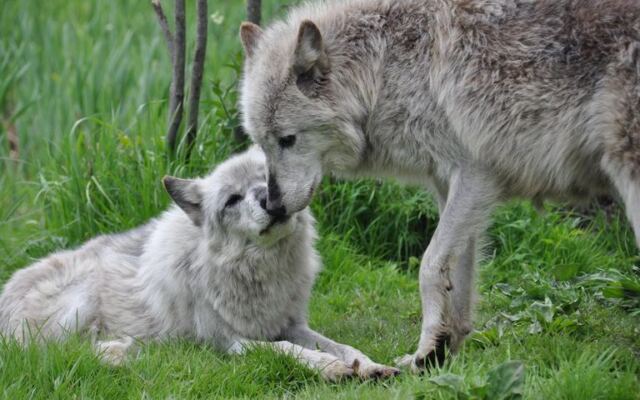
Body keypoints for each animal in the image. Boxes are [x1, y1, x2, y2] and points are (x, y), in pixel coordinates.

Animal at [0, 147, 398, 380]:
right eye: (232, 199)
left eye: (266, 179)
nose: (269, 201)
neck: (259, 272)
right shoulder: (230, 342)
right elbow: (289, 350)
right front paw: (331, 369)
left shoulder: (290, 325)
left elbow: (344, 346)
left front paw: (370, 365)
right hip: (79, 304)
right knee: (64, 352)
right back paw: (126, 353)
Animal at [238, 0, 640, 371]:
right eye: (262, 143)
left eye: (288, 140)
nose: (273, 205)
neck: (386, 70)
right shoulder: (452, 186)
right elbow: (457, 280)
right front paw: (442, 352)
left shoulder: (477, 175)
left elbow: (429, 266)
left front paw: (427, 352)